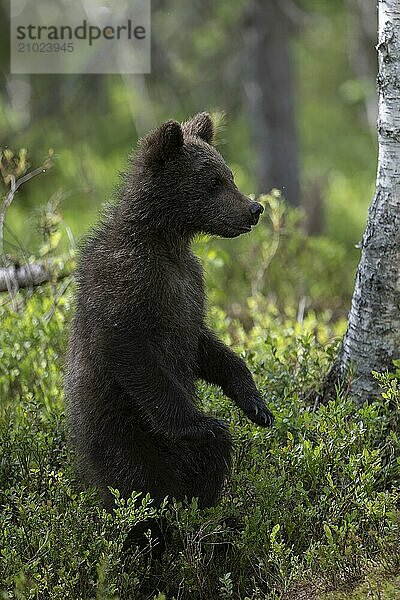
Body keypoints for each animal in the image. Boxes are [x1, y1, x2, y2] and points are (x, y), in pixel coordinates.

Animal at [65, 113, 274, 516]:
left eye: (230, 174)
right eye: (213, 181)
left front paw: (256, 404)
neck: (167, 239)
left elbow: (205, 345)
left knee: (210, 461)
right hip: (122, 435)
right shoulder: (131, 283)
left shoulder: (190, 286)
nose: (254, 209)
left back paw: (203, 507)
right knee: (138, 485)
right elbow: (131, 353)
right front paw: (202, 423)